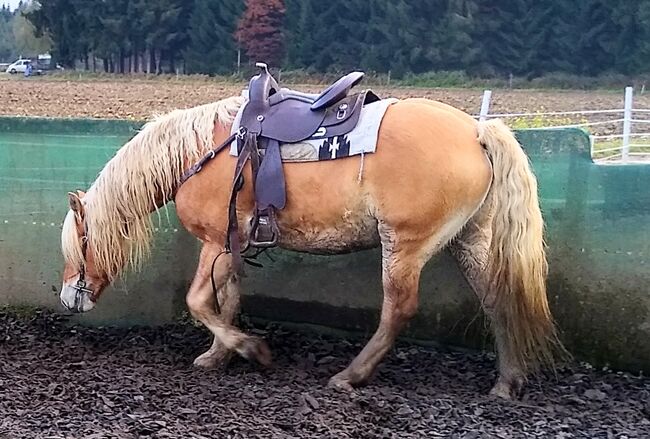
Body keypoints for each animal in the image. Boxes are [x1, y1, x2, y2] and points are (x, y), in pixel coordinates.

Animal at [62, 95, 568, 398]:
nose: (69, 299)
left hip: (404, 245)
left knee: (398, 309)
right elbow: (228, 300)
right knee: (498, 301)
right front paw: (220, 355)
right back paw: (506, 382)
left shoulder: (215, 242)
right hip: (471, 241)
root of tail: (478, 132)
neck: (200, 153)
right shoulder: (233, 246)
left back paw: (351, 375)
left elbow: (199, 301)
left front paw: (251, 350)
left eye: (78, 244)